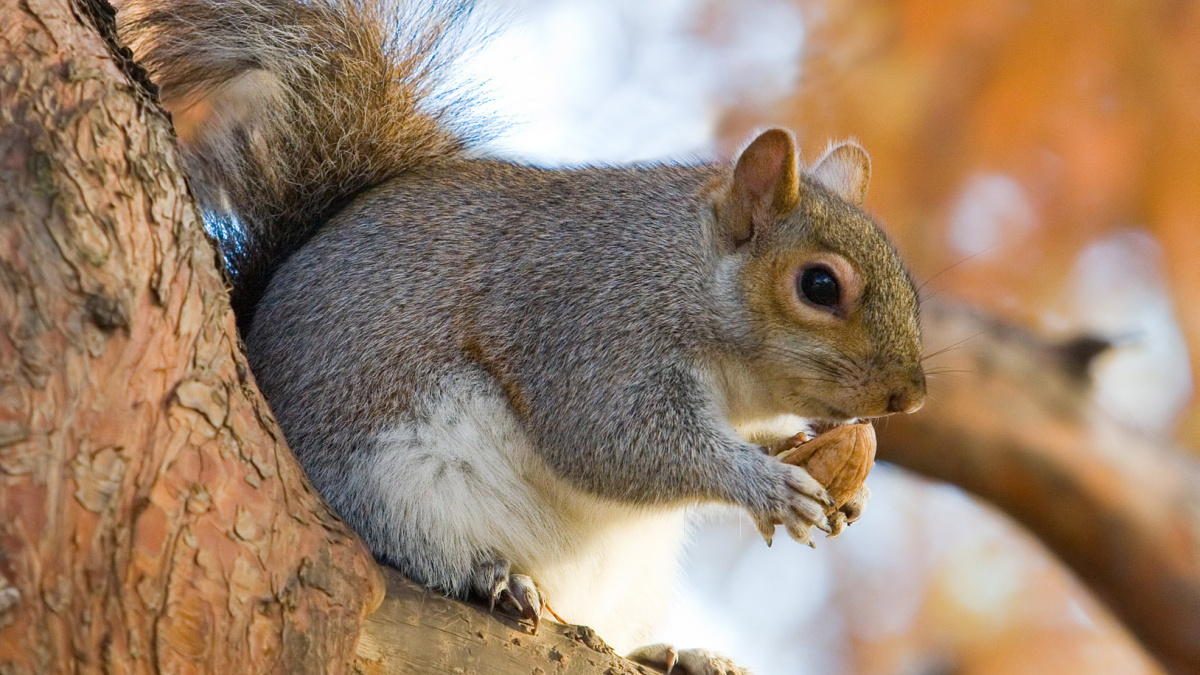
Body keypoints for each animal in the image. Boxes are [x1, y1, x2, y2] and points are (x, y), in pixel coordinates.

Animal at [119, 0, 926, 667]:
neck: (686, 276)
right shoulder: (590, 324)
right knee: (416, 548)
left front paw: (821, 468)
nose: (910, 397)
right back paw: (493, 576)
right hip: (394, 483)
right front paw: (765, 485)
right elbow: (613, 439)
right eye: (819, 286)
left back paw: (672, 653)